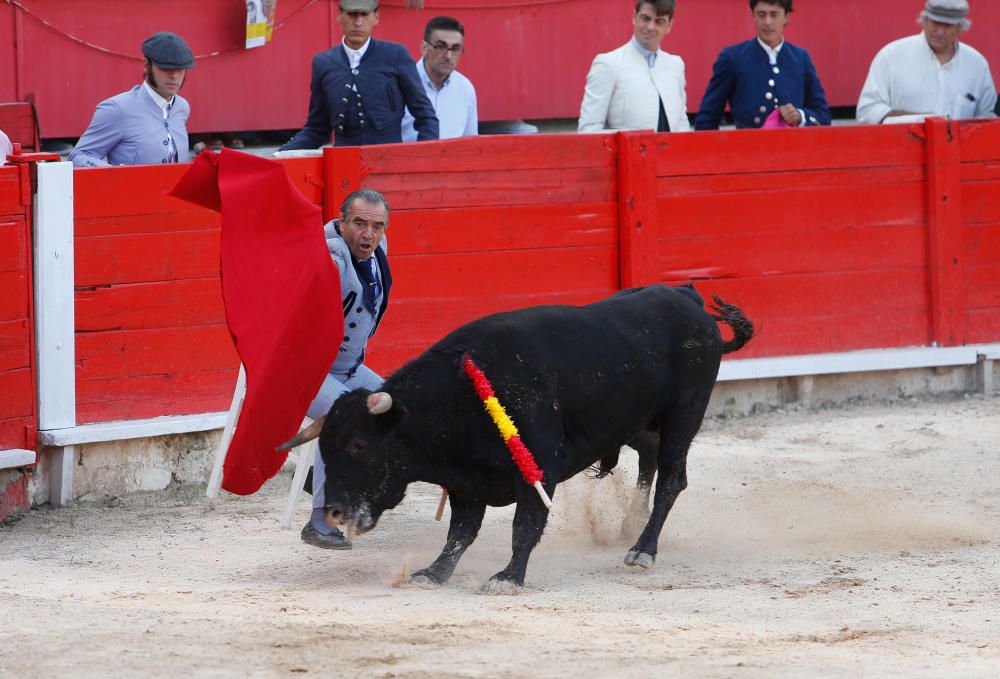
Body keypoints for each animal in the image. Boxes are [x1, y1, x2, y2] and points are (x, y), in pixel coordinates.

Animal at [280, 284, 752, 592]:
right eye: (324, 449)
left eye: (359, 445)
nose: (335, 511)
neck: (459, 399)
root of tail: (687, 298)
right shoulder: (467, 482)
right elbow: (460, 533)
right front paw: (433, 573)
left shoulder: (538, 470)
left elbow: (525, 526)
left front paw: (508, 577)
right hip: (639, 422)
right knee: (650, 461)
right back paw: (629, 526)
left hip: (684, 415)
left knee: (672, 479)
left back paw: (642, 550)